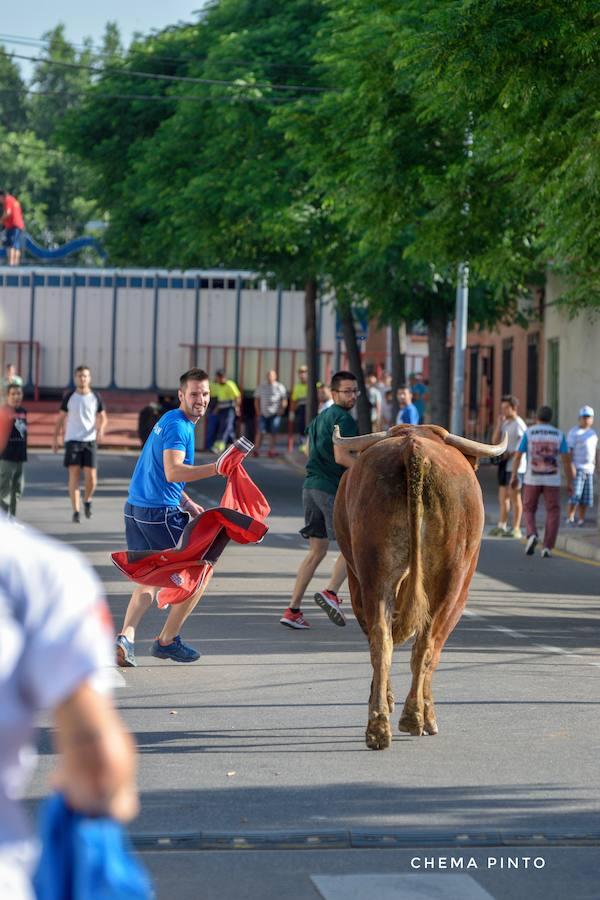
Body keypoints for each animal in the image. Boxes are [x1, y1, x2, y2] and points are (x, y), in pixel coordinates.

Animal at [332, 426, 506, 748]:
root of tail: (413, 447)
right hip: (447, 580)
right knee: (422, 645)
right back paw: (411, 717)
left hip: (377, 574)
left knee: (384, 640)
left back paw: (381, 725)